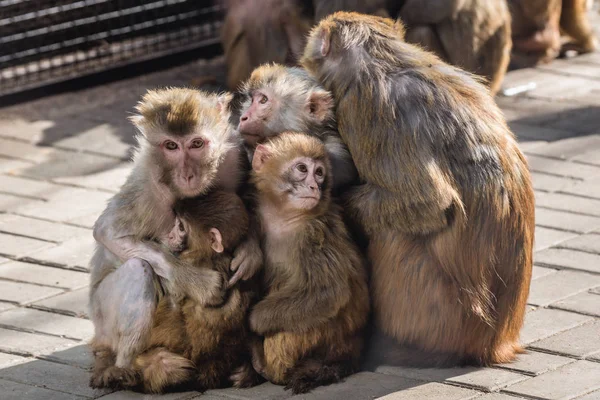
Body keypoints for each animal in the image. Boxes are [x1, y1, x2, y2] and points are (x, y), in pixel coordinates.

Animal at [245, 132, 368, 394]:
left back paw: (269, 367)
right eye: (302, 169)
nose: (314, 186)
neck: (283, 217)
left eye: (319, 172)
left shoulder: (315, 231)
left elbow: (328, 292)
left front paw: (254, 321)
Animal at [304, 12, 536, 368]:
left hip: (439, 316)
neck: (385, 57)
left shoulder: (366, 108)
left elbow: (429, 203)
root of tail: (496, 344)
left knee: (395, 234)